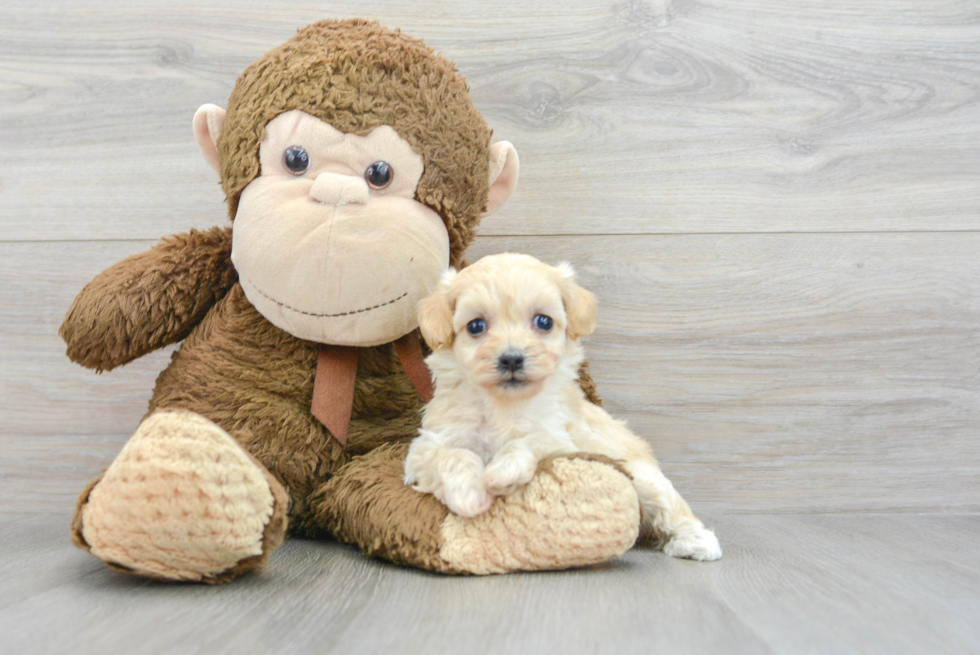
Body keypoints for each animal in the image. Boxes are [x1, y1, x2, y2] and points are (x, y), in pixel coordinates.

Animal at [402, 254, 724, 560]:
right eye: (476, 326)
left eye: (543, 322)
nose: (511, 358)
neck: (504, 405)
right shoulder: (427, 446)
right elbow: (452, 455)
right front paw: (468, 494)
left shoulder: (562, 439)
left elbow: (530, 441)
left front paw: (503, 471)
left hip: (643, 475)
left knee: (671, 506)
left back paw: (697, 542)